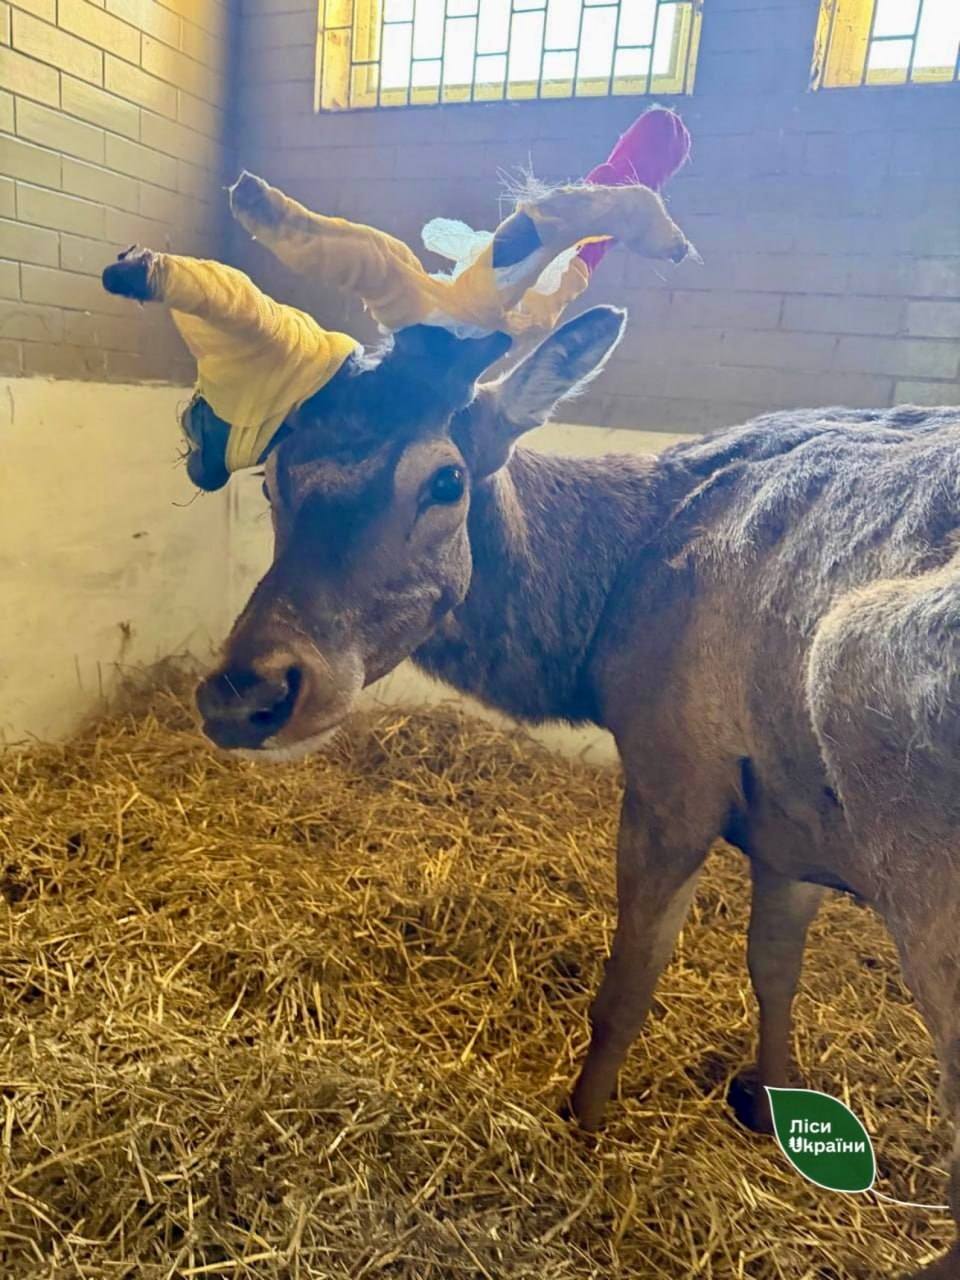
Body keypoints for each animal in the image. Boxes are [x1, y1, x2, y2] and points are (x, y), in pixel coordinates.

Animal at [103, 170, 960, 1279]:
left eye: (444, 477)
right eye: (276, 477)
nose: (247, 691)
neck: (605, 620)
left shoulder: (676, 768)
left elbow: (628, 979)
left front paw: (583, 1120)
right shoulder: (788, 818)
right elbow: (775, 965)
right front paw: (764, 1097)